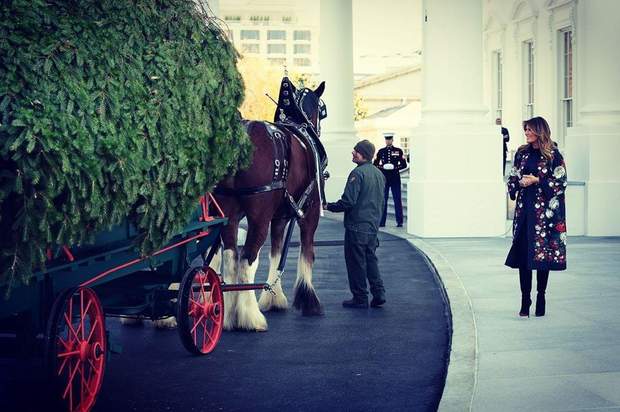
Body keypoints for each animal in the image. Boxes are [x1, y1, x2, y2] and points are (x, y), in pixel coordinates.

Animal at [213, 80, 326, 332]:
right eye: (322, 110)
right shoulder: (311, 212)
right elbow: (307, 252)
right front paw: (308, 298)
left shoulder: (280, 217)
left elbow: (276, 251)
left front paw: (274, 297)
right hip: (258, 217)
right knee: (247, 259)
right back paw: (250, 317)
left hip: (228, 213)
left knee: (231, 256)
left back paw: (228, 316)